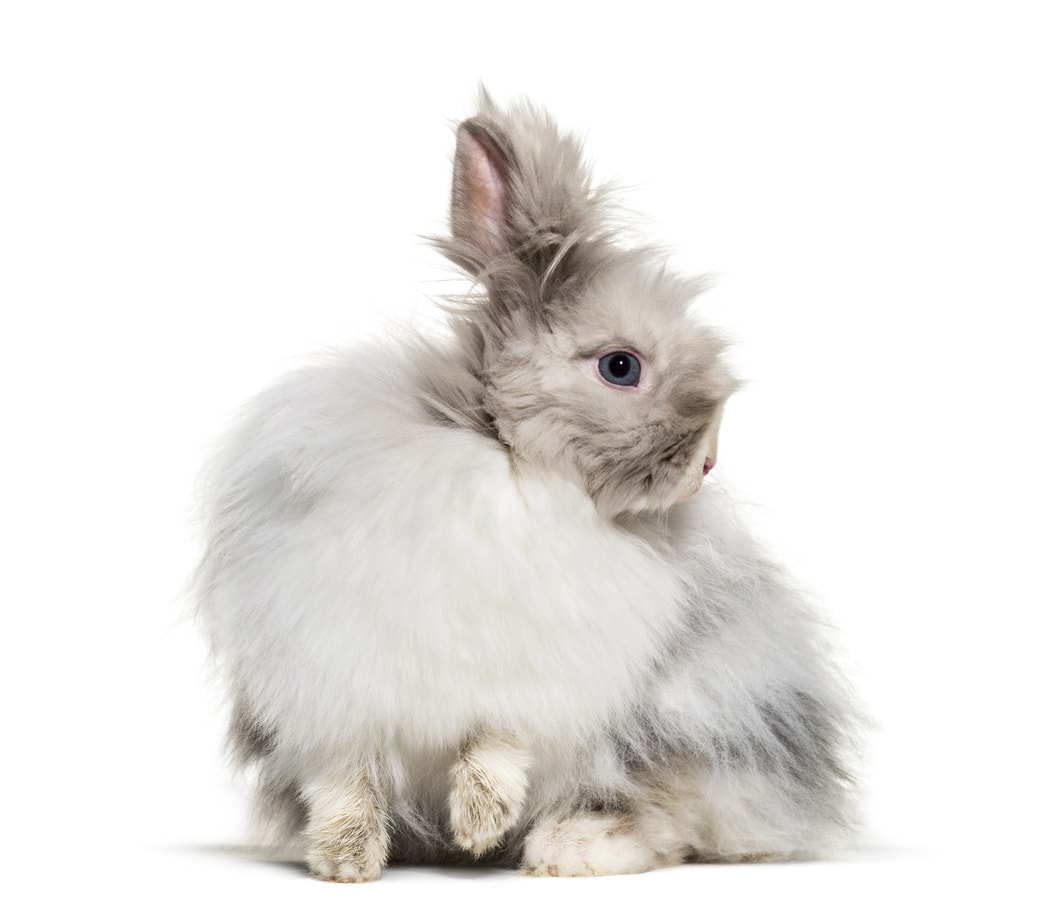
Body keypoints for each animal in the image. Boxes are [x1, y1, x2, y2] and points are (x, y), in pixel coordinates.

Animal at [194, 91, 859, 881]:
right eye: (621, 367)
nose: (706, 464)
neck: (509, 460)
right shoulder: (329, 683)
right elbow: (345, 778)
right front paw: (345, 858)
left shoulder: (535, 680)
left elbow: (497, 743)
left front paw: (480, 821)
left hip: (696, 719)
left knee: (670, 817)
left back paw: (565, 848)